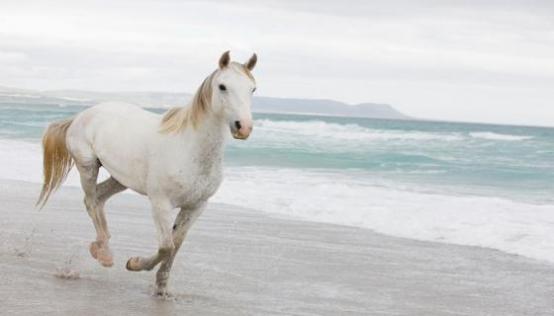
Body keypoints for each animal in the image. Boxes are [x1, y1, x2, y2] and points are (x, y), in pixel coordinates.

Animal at [36, 50, 256, 296]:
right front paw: (134, 264)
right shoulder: (160, 203)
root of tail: (81, 115)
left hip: (120, 179)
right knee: (91, 201)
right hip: (88, 166)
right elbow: (167, 246)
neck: (189, 148)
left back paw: (100, 248)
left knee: (98, 198)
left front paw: (161, 287)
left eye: (252, 89)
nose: (243, 127)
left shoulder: (196, 206)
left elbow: (176, 245)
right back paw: (104, 254)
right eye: (222, 86)